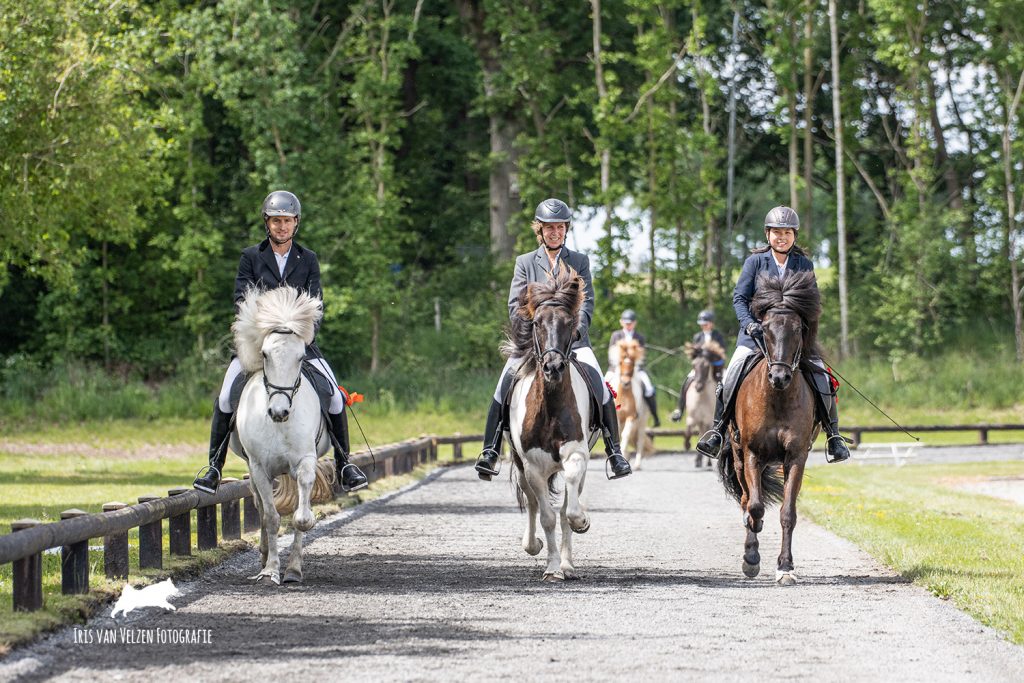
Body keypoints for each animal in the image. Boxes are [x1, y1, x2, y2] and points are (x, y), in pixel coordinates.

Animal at [230, 286, 333, 585]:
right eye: (264, 354)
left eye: (300, 357)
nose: (279, 411)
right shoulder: (259, 468)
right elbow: (271, 517)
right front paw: (270, 570)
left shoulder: (305, 460)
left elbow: (300, 514)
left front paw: (293, 568)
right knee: (261, 508)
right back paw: (264, 556)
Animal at [610, 339, 651, 473]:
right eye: (620, 362)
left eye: (632, 363)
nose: (626, 382)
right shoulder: (617, 417)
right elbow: (618, 434)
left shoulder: (632, 417)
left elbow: (626, 435)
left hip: (642, 421)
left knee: (640, 440)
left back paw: (637, 464)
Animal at [720, 272, 823, 589]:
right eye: (764, 329)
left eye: (798, 329)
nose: (779, 377)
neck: (777, 398)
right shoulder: (753, 454)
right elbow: (755, 507)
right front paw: (751, 559)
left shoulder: (796, 457)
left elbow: (788, 513)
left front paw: (786, 567)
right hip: (739, 458)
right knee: (746, 500)